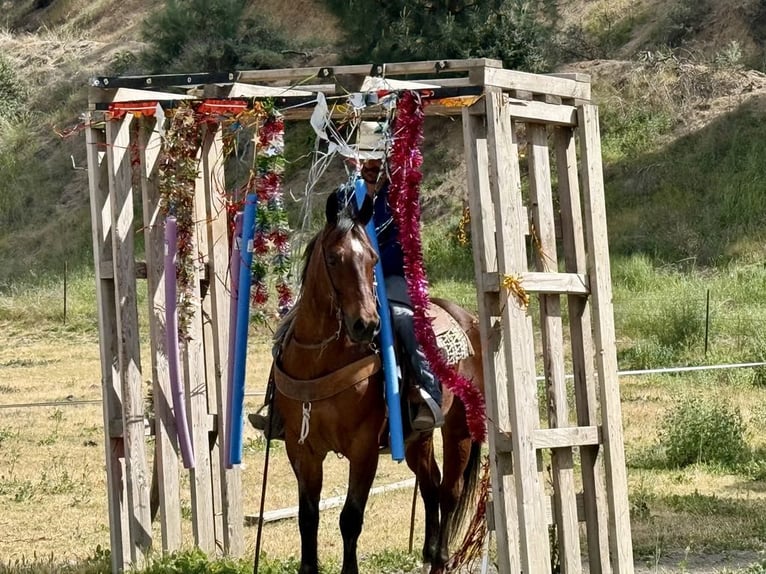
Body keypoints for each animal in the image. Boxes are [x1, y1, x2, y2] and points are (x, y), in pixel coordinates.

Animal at [270, 191, 485, 574]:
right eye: (333, 258)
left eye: (371, 259)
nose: (366, 325)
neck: (320, 359)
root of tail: (467, 318)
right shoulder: (301, 449)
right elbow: (308, 517)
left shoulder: (364, 447)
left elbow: (350, 518)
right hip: (418, 438)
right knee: (431, 484)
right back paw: (429, 551)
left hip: (459, 428)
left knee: (450, 491)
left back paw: (441, 559)